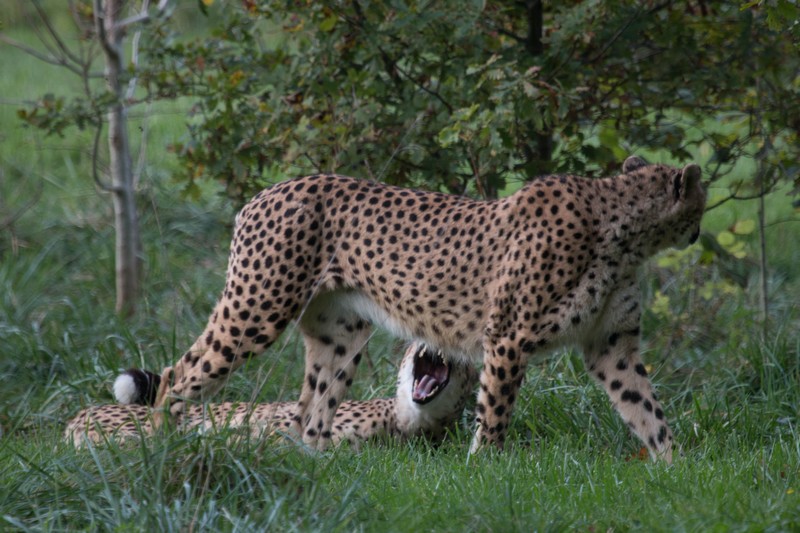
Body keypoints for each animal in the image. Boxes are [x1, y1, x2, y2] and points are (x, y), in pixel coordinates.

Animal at [144, 155, 708, 462]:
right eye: (701, 203)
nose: (700, 231)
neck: (624, 231)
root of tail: (271, 190)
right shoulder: (508, 336)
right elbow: (496, 411)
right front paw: (485, 467)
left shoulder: (610, 345)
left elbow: (645, 408)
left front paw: (674, 464)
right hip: (259, 307)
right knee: (179, 373)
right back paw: (164, 448)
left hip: (339, 334)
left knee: (311, 412)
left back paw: (316, 464)